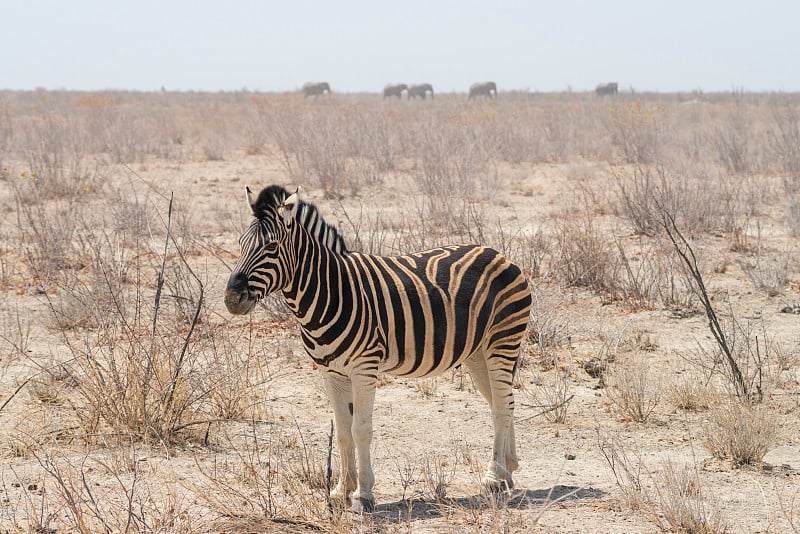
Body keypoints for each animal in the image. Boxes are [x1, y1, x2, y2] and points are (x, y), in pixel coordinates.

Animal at [225, 185, 536, 516]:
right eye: (241, 244)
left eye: (271, 247)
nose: (231, 298)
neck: (329, 293)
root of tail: (498, 253)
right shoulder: (331, 373)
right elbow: (343, 431)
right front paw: (341, 491)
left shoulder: (364, 368)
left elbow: (360, 429)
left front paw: (363, 495)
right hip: (477, 353)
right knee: (504, 402)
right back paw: (507, 470)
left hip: (502, 340)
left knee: (502, 405)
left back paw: (493, 478)